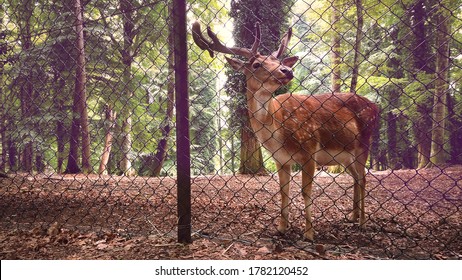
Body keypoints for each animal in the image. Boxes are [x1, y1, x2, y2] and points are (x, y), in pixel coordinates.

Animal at [191, 21, 378, 241]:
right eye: (256, 64)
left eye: (277, 60)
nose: (287, 70)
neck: (277, 133)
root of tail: (376, 106)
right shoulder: (280, 159)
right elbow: (283, 192)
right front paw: (281, 228)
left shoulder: (309, 150)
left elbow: (306, 192)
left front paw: (309, 233)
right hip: (346, 155)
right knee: (356, 178)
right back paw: (352, 216)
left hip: (364, 144)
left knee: (364, 178)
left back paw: (363, 222)